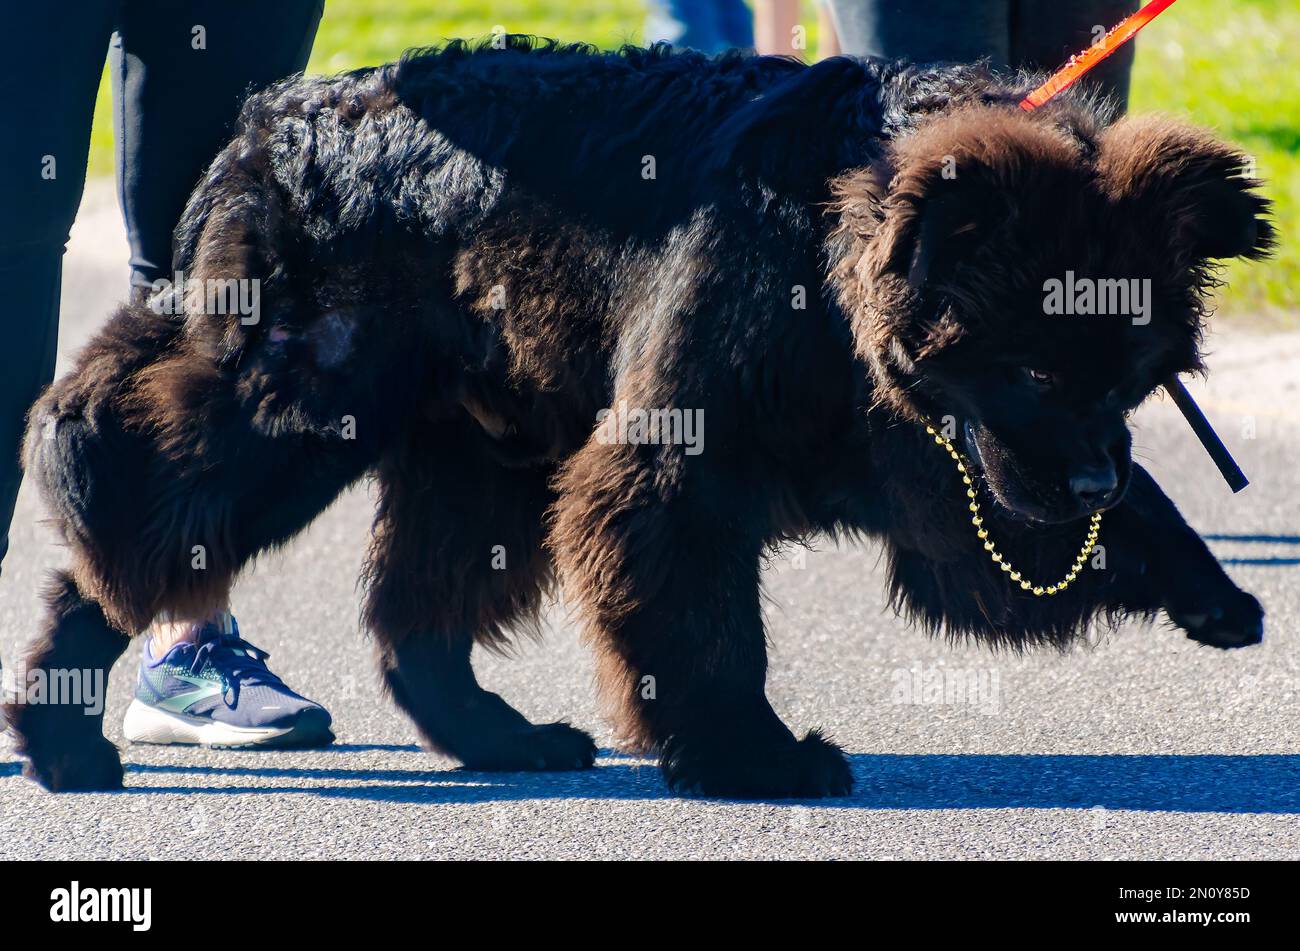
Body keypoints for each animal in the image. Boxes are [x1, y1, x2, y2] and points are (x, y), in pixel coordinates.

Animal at [5, 37, 1274, 795]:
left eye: (1132, 378)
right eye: (1032, 375)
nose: (1090, 484)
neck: (829, 247)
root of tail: (270, 122)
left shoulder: (926, 451)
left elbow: (1060, 525)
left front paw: (1203, 584)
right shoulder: (687, 458)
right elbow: (705, 623)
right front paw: (748, 754)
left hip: (483, 443)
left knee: (415, 616)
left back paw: (500, 739)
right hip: (298, 407)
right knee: (123, 488)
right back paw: (61, 727)